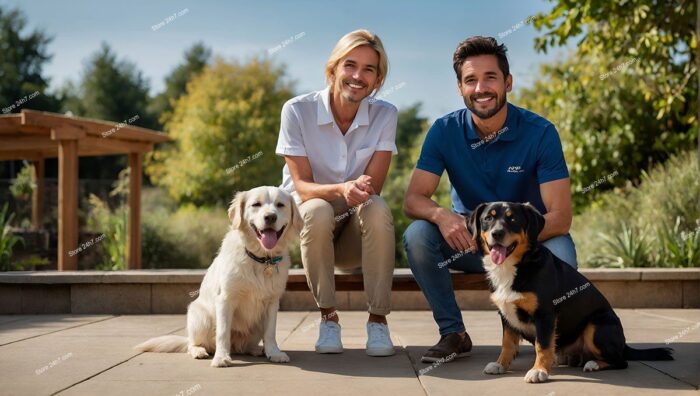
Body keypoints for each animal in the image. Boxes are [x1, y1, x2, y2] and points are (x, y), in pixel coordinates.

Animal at [135, 187, 302, 366]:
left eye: (280, 205)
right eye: (256, 204)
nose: (270, 217)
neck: (261, 258)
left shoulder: (272, 302)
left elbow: (270, 332)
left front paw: (274, 353)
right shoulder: (225, 299)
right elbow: (222, 333)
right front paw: (221, 357)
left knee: (245, 346)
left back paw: (257, 349)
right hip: (199, 316)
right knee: (193, 344)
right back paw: (199, 351)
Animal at [468, 203, 676, 382]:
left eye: (513, 219)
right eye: (488, 218)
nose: (497, 233)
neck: (513, 268)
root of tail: (623, 343)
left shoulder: (545, 314)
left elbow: (542, 346)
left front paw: (538, 371)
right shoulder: (506, 314)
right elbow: (507, 344)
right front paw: (500, 365)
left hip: (595, 326)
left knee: (621, 361)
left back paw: (592, 364)